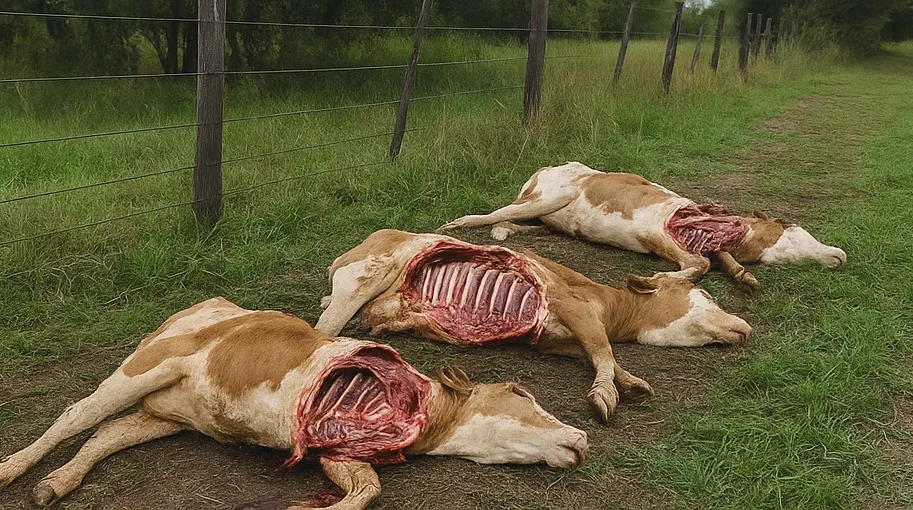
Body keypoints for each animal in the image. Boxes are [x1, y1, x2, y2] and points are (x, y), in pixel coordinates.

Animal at [0, 298, 587, 510]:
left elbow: (367, 488)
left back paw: (56, 484)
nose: (582, 437)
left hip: (171, 413)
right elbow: (368, 492)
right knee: (76, 415)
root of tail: (203, 304)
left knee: (107, 433)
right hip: (150, 363)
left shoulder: (339, 452)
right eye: (521, 392)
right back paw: (14, 470)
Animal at [315, 229, 752, 423]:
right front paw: (605, 395)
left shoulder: (558, 339)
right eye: (706, 295)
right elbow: (603, 351)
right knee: (328, 326)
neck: (612, 307)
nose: (745, 327)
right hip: (365, 274)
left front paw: (631, 383)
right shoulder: (573, 307)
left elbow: (601, 354)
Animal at [440, 162, 847, 289]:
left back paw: (502, 232)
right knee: (495, 213)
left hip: (547, 218)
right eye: (792, 232)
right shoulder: (662, 234)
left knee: (514, 220)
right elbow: (698, 266)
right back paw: (458, 222)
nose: (840, 255)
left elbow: (720, 263)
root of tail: (545, 169)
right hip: (550, 196)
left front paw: (745, 277)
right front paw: (658, 279)